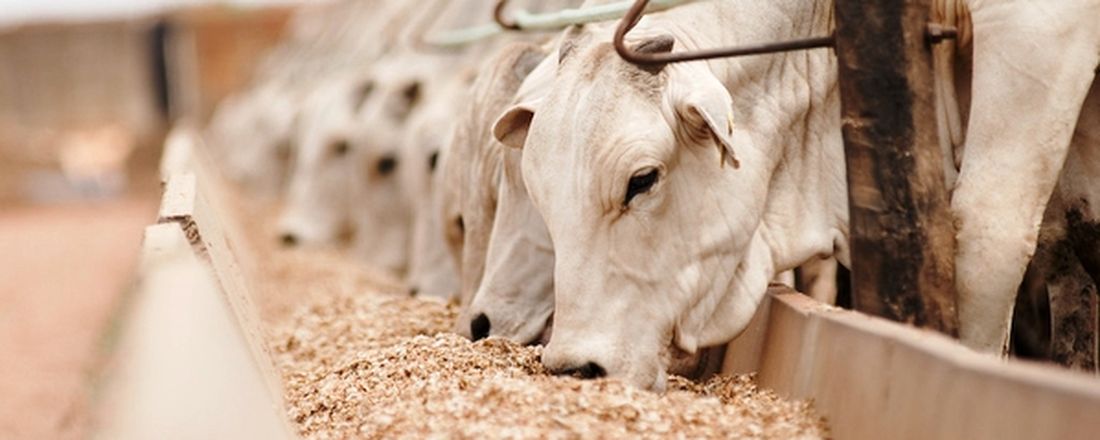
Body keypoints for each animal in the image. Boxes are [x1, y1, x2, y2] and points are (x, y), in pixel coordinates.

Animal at [492, 0, 1100, 389]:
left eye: (641, 180)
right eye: (541, 196)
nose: (575, 369)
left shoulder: (1037, 29)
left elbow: (988, 236)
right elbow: (1078, 241)